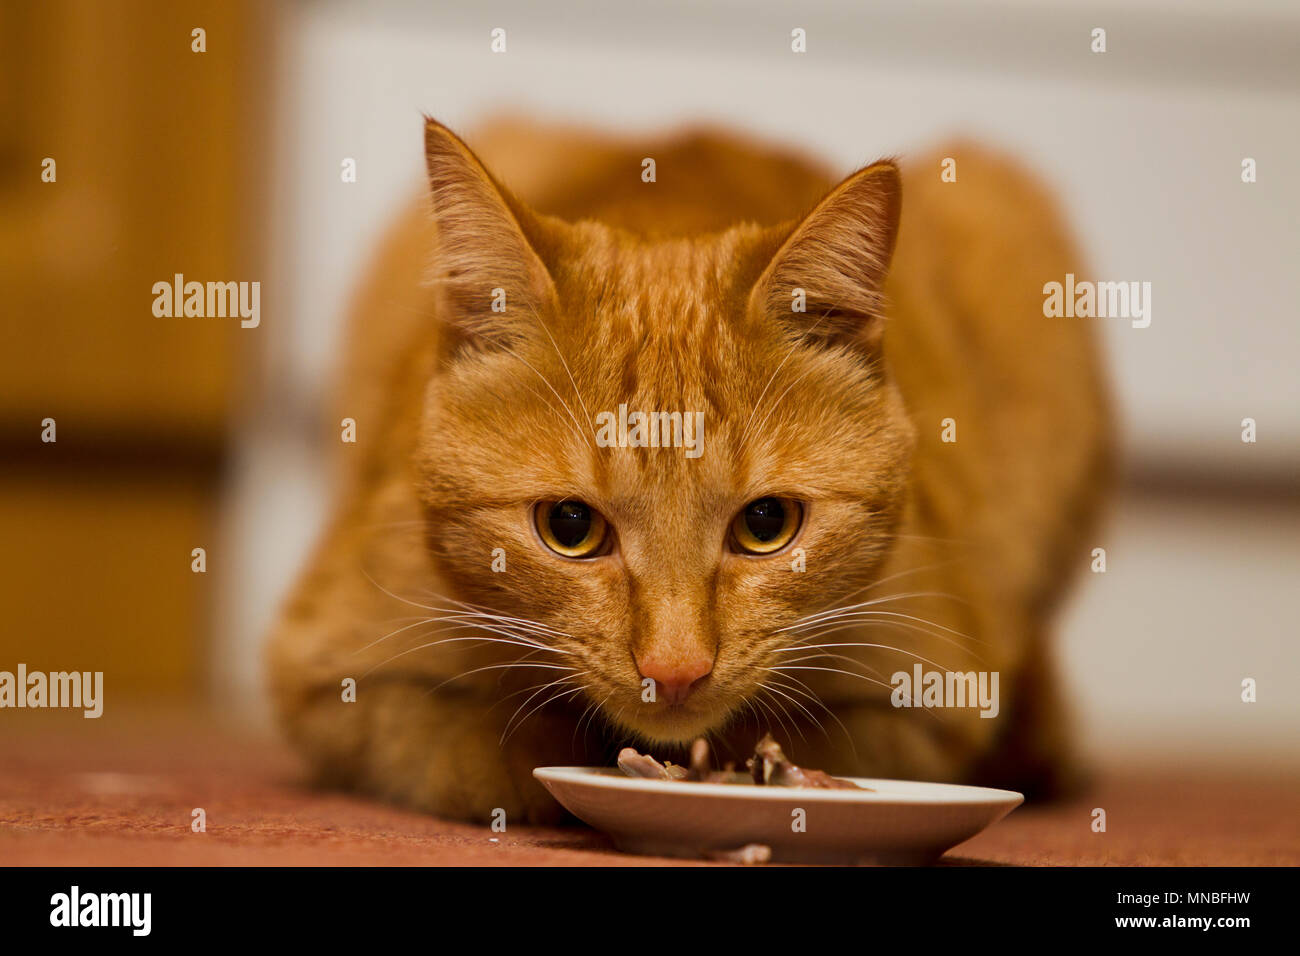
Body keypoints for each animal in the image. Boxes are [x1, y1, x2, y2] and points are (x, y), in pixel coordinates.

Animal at [263, 117, 1107, 822]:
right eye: (568, 526)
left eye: (767, 523)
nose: (674, 671)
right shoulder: (332, 682)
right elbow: (476, 748)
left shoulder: (927, 708)